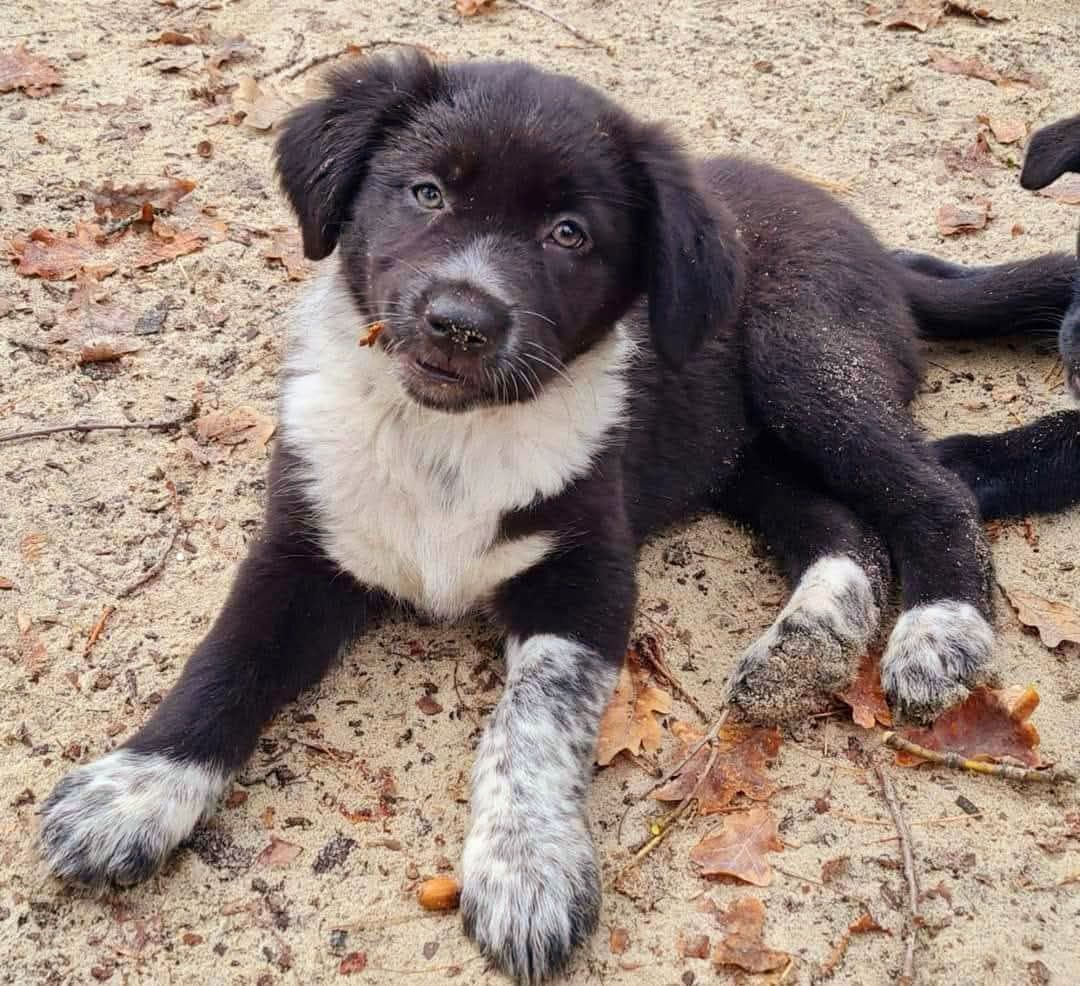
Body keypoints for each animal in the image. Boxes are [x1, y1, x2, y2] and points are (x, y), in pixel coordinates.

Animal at [38, 55, 1080, 984]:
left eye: (570, 234)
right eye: (425, 192)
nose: (460, 320)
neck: (450, 436)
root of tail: (876, 246)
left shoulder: (587, 568)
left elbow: (535, 718)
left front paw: (526, 867)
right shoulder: (302, 544)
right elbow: (225, 662)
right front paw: (137, 791)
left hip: (804, 359)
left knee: (929, 492)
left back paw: (939, 631)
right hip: (731, 450)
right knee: (840, 524)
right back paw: (806, 644)